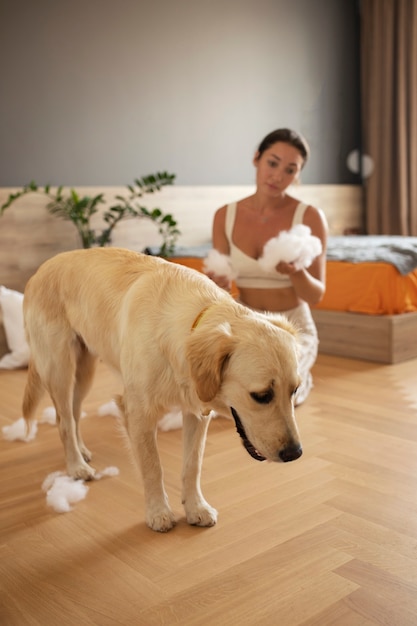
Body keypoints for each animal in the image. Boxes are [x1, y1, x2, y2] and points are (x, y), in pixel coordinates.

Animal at [22, 246, 300, 528]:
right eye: (262, 395)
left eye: (294, 391)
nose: (295, 453)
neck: (183, 332)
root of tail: (41, 270)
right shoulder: (138, 413)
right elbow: (152, 467)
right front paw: (158, 512)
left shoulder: (197, 413)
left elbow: (192, 465)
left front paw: (196, 507)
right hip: (60, 369)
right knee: (63, 420)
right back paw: (76, 466)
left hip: (84, 371)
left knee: (74, 414)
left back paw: (81, 452)